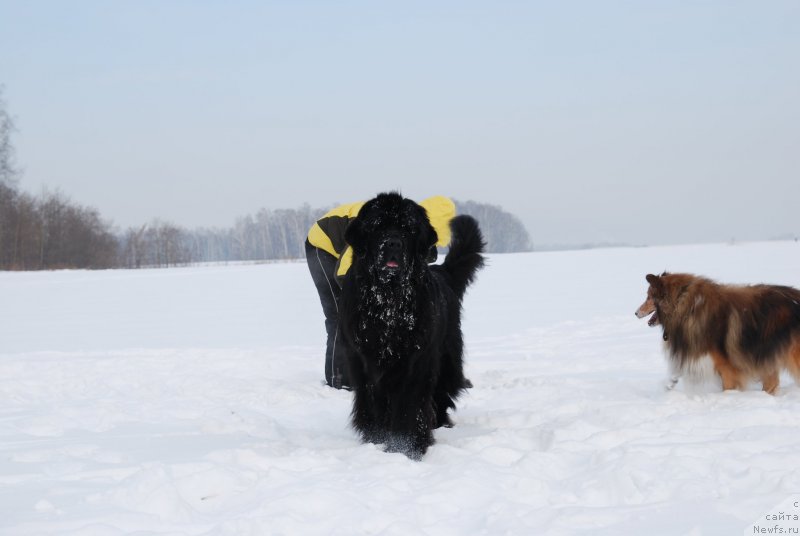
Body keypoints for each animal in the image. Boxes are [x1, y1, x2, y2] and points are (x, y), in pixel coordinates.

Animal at [340, 191, 484, 458]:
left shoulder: (416, 361)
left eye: (408, 229)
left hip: (447, 358)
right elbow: (373, 403)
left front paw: (407, 447)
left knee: (442, 393)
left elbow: (410, 404)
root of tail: (442, 272)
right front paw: (377, 440)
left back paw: (439, 423)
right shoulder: (364, 361)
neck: (388, 305)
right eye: (377, 226)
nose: (393, 244)